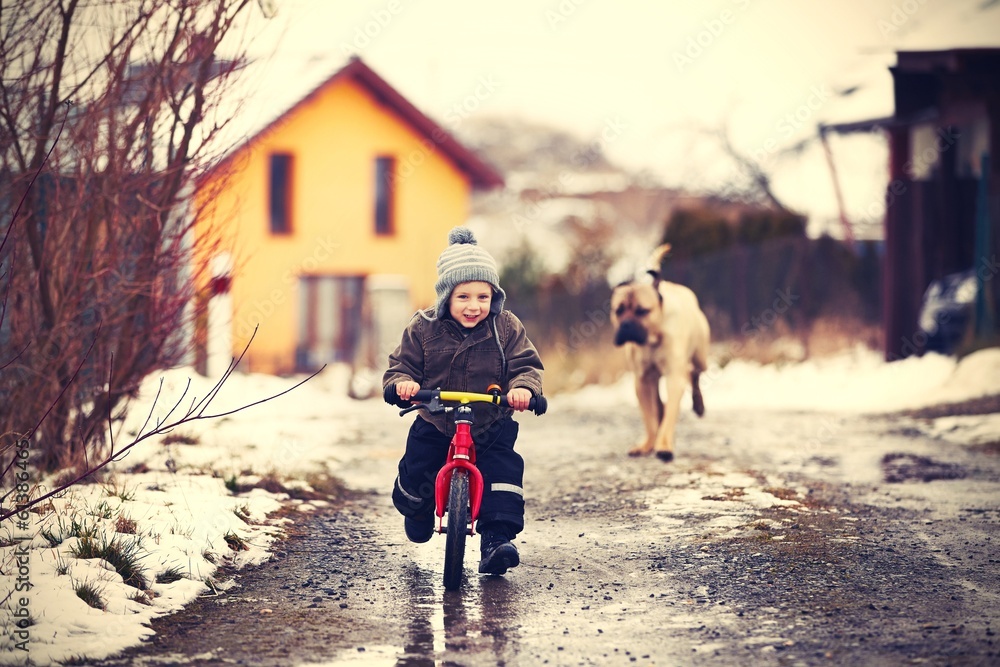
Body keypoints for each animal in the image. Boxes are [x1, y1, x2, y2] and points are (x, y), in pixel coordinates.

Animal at [608, 244, 712, 460]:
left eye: (642, 311)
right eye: (618, 310)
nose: (626, 325)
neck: (652, 339)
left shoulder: (674, 377)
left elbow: (671, 412)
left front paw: (663, 444)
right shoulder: (641, 381)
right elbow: (649, 417)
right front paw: (648, 443)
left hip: (700, 357)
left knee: (694, 374)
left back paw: (698, 405)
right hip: (653, 377)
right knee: (658, 400)